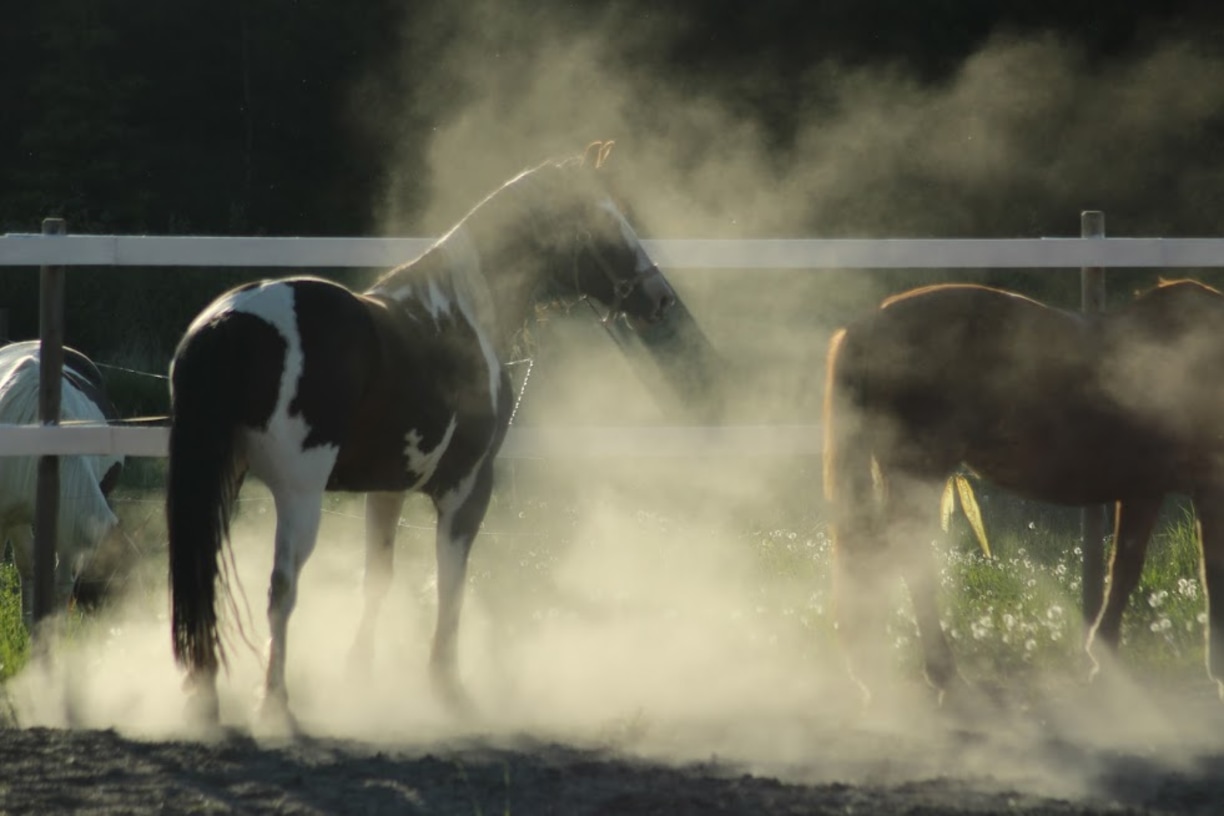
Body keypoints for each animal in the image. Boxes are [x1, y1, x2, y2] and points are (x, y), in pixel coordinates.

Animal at [165, 143, 680, 729]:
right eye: (605, 220)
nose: (661, 298)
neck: (462, 312)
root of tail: (228, 322)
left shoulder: (386, 491)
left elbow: (378, 580)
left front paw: (359, 678)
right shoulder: (467, 490)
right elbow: (451, 582)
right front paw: (447, 687)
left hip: (216, 484)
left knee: (203, 577)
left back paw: (204, 697)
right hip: (299, 495)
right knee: (282, 586)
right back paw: (274, 702)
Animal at [817, 278, 1224, 704]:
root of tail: (871, 323)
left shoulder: (1143, 491)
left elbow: (1124, 571)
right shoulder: (1205, 487)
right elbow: (1212, 571)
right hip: (917, 473)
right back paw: (941, 674)